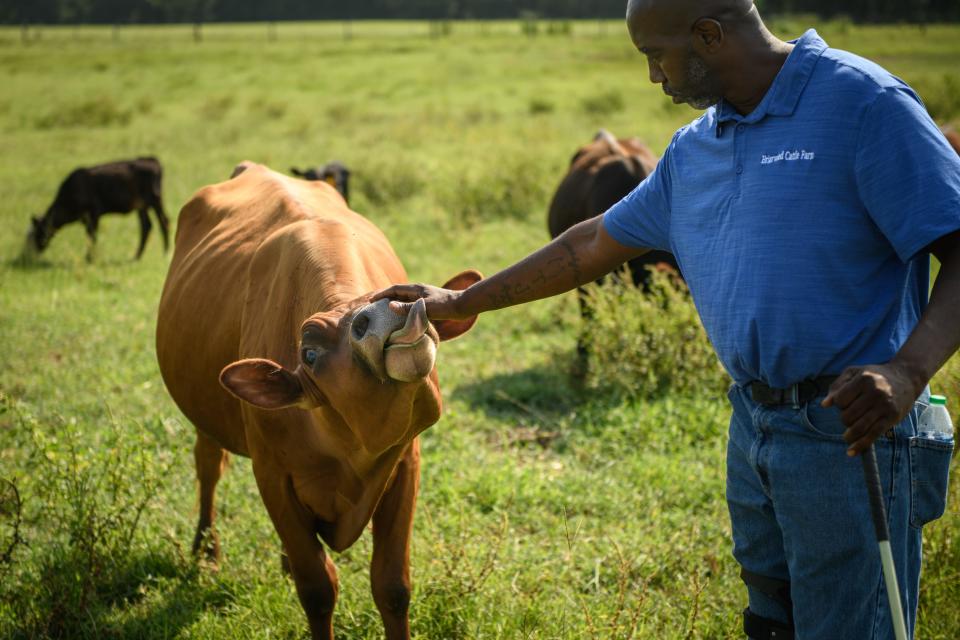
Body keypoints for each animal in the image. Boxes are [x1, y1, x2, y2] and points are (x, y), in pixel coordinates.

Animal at [157, 162, 480, 636]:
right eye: (308, 353)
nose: (386, 310)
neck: (346, 450)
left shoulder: (405, 464)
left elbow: (392, 586)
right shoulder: (272, 475)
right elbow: (317, 588)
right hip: (205, 418)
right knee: (208, 468)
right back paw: (206, 550)